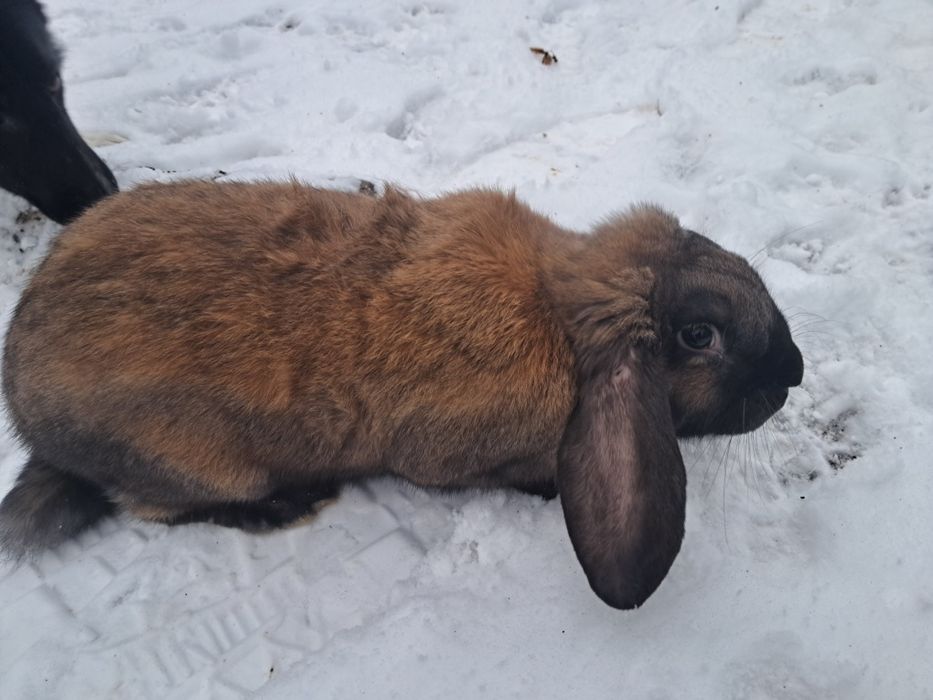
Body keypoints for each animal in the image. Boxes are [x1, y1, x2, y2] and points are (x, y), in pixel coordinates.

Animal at [0, 181, 803, 609]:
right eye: (698, 336)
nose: (793, 371)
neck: (559, 308)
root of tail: (32, 426)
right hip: (193, 462)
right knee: (154, 505)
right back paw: (286, 506)